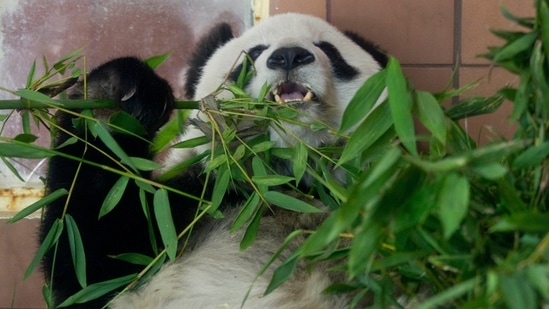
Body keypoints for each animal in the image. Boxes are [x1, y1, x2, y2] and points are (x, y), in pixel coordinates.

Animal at [40, 12, 388, 308]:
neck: (281, 182)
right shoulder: (187, 208)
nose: (289, 55)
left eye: (329, 50)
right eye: (253, 53)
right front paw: (114, 98)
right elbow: (88, 257)